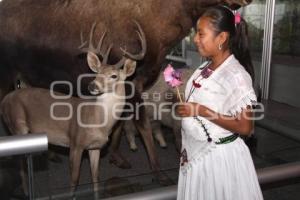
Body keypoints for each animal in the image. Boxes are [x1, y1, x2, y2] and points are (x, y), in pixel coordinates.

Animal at [0, 21, 145, 195]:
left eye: (114, 76)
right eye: (97, 73)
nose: (92, 85)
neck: (99, 122)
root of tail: (5, 100)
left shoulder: (95, 147)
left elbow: (95, 177)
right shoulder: (75, 142)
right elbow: (74, 180)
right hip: (17, 125)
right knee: (19, 162)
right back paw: (26, 191)